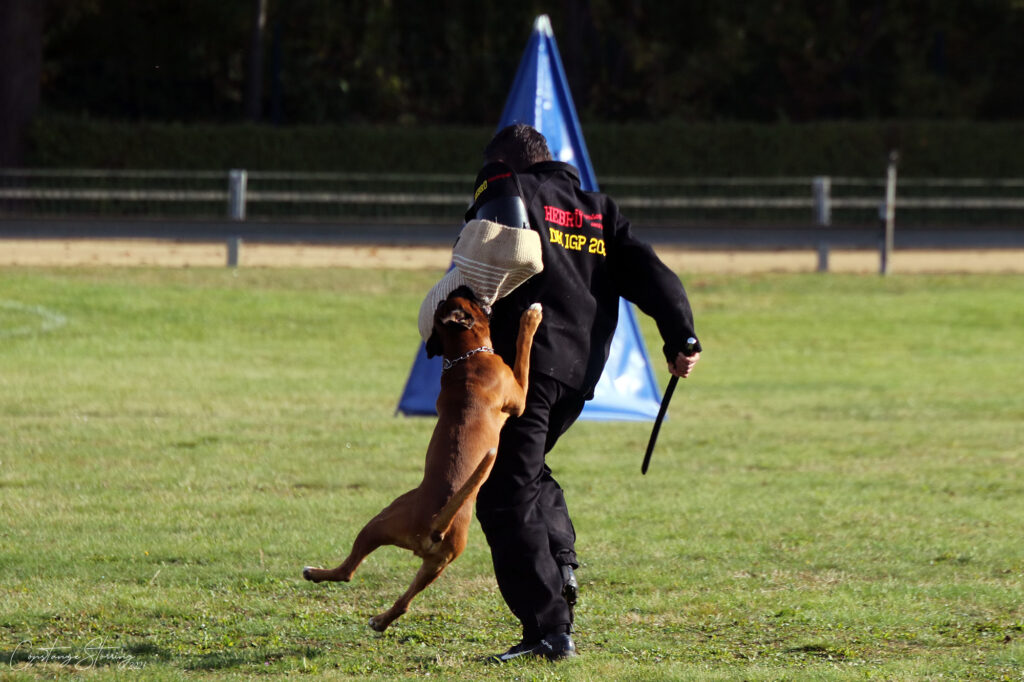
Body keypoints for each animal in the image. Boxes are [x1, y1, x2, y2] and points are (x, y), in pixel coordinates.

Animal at [303, 284, 544, 630]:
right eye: (467, 298)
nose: (463, 285)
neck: (465, 356)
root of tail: (434, 524)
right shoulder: (519, 396)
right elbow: (524, 351)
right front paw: (531, 316)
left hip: (427, 559)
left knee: (397, 599)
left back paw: (378, 619)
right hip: (383, 524)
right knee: (349, 571)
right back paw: (318, 574)